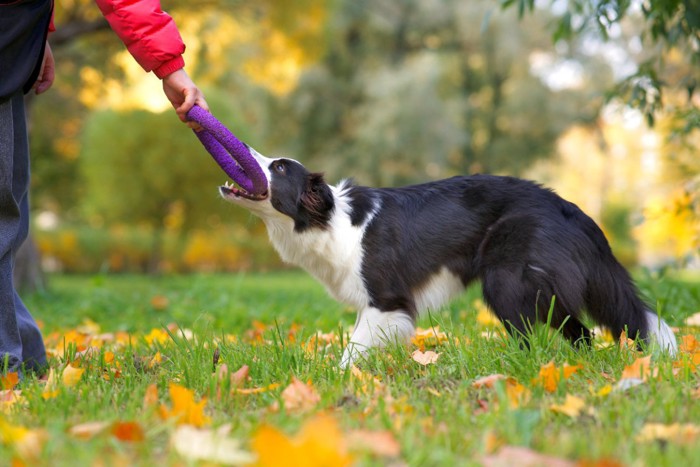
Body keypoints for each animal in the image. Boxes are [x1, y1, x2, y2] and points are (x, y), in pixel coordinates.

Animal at [220, 148, 680, 368]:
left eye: (280, 168)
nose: (241, 150)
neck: (332, 222)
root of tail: (573, 210)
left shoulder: (387, 302)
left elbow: (351, 350)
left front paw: (334, 378)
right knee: (581, 335)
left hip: (506, 279)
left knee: (549, 334)